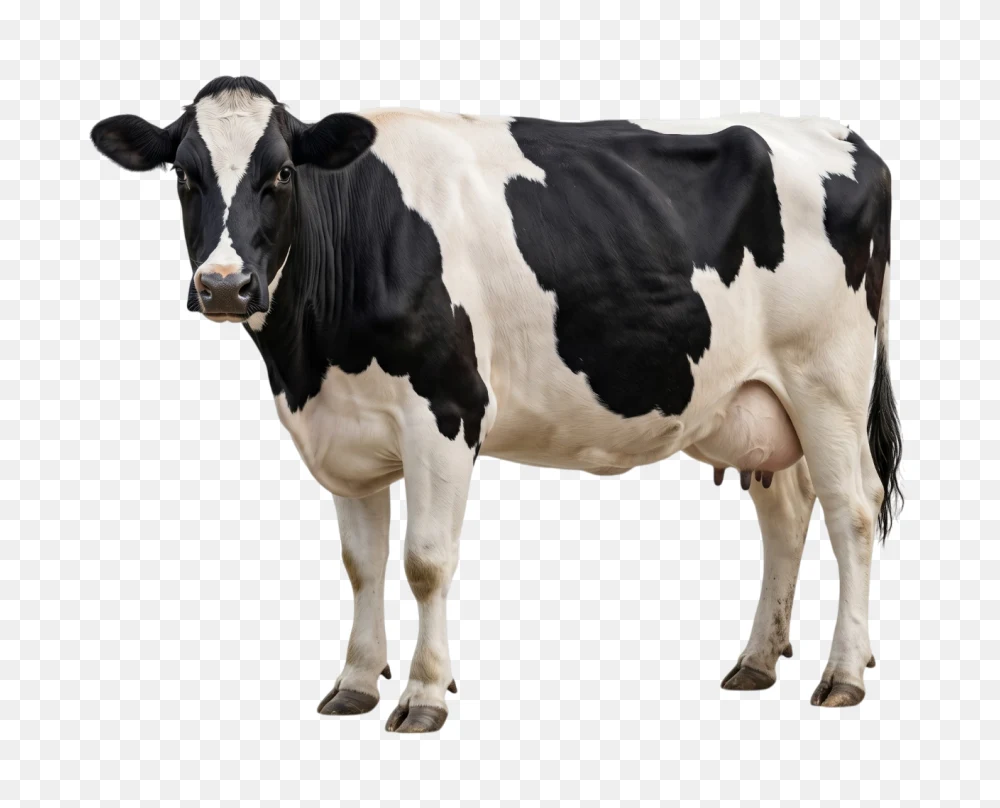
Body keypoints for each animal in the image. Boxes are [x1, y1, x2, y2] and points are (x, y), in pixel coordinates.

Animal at [91, 76, 902, 732]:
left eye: (283, 171)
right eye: (184, 173)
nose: (224, 285)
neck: (309, 360)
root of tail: (846, 136)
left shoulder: (446, 412)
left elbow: (424, 561)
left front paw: (424, 694)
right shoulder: (345, 429)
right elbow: (362, 564)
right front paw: (355, 683)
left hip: (828, 379)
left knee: (852, 512)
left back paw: (843, 673)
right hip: (755, 401)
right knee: (786, 513)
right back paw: (759, 659)